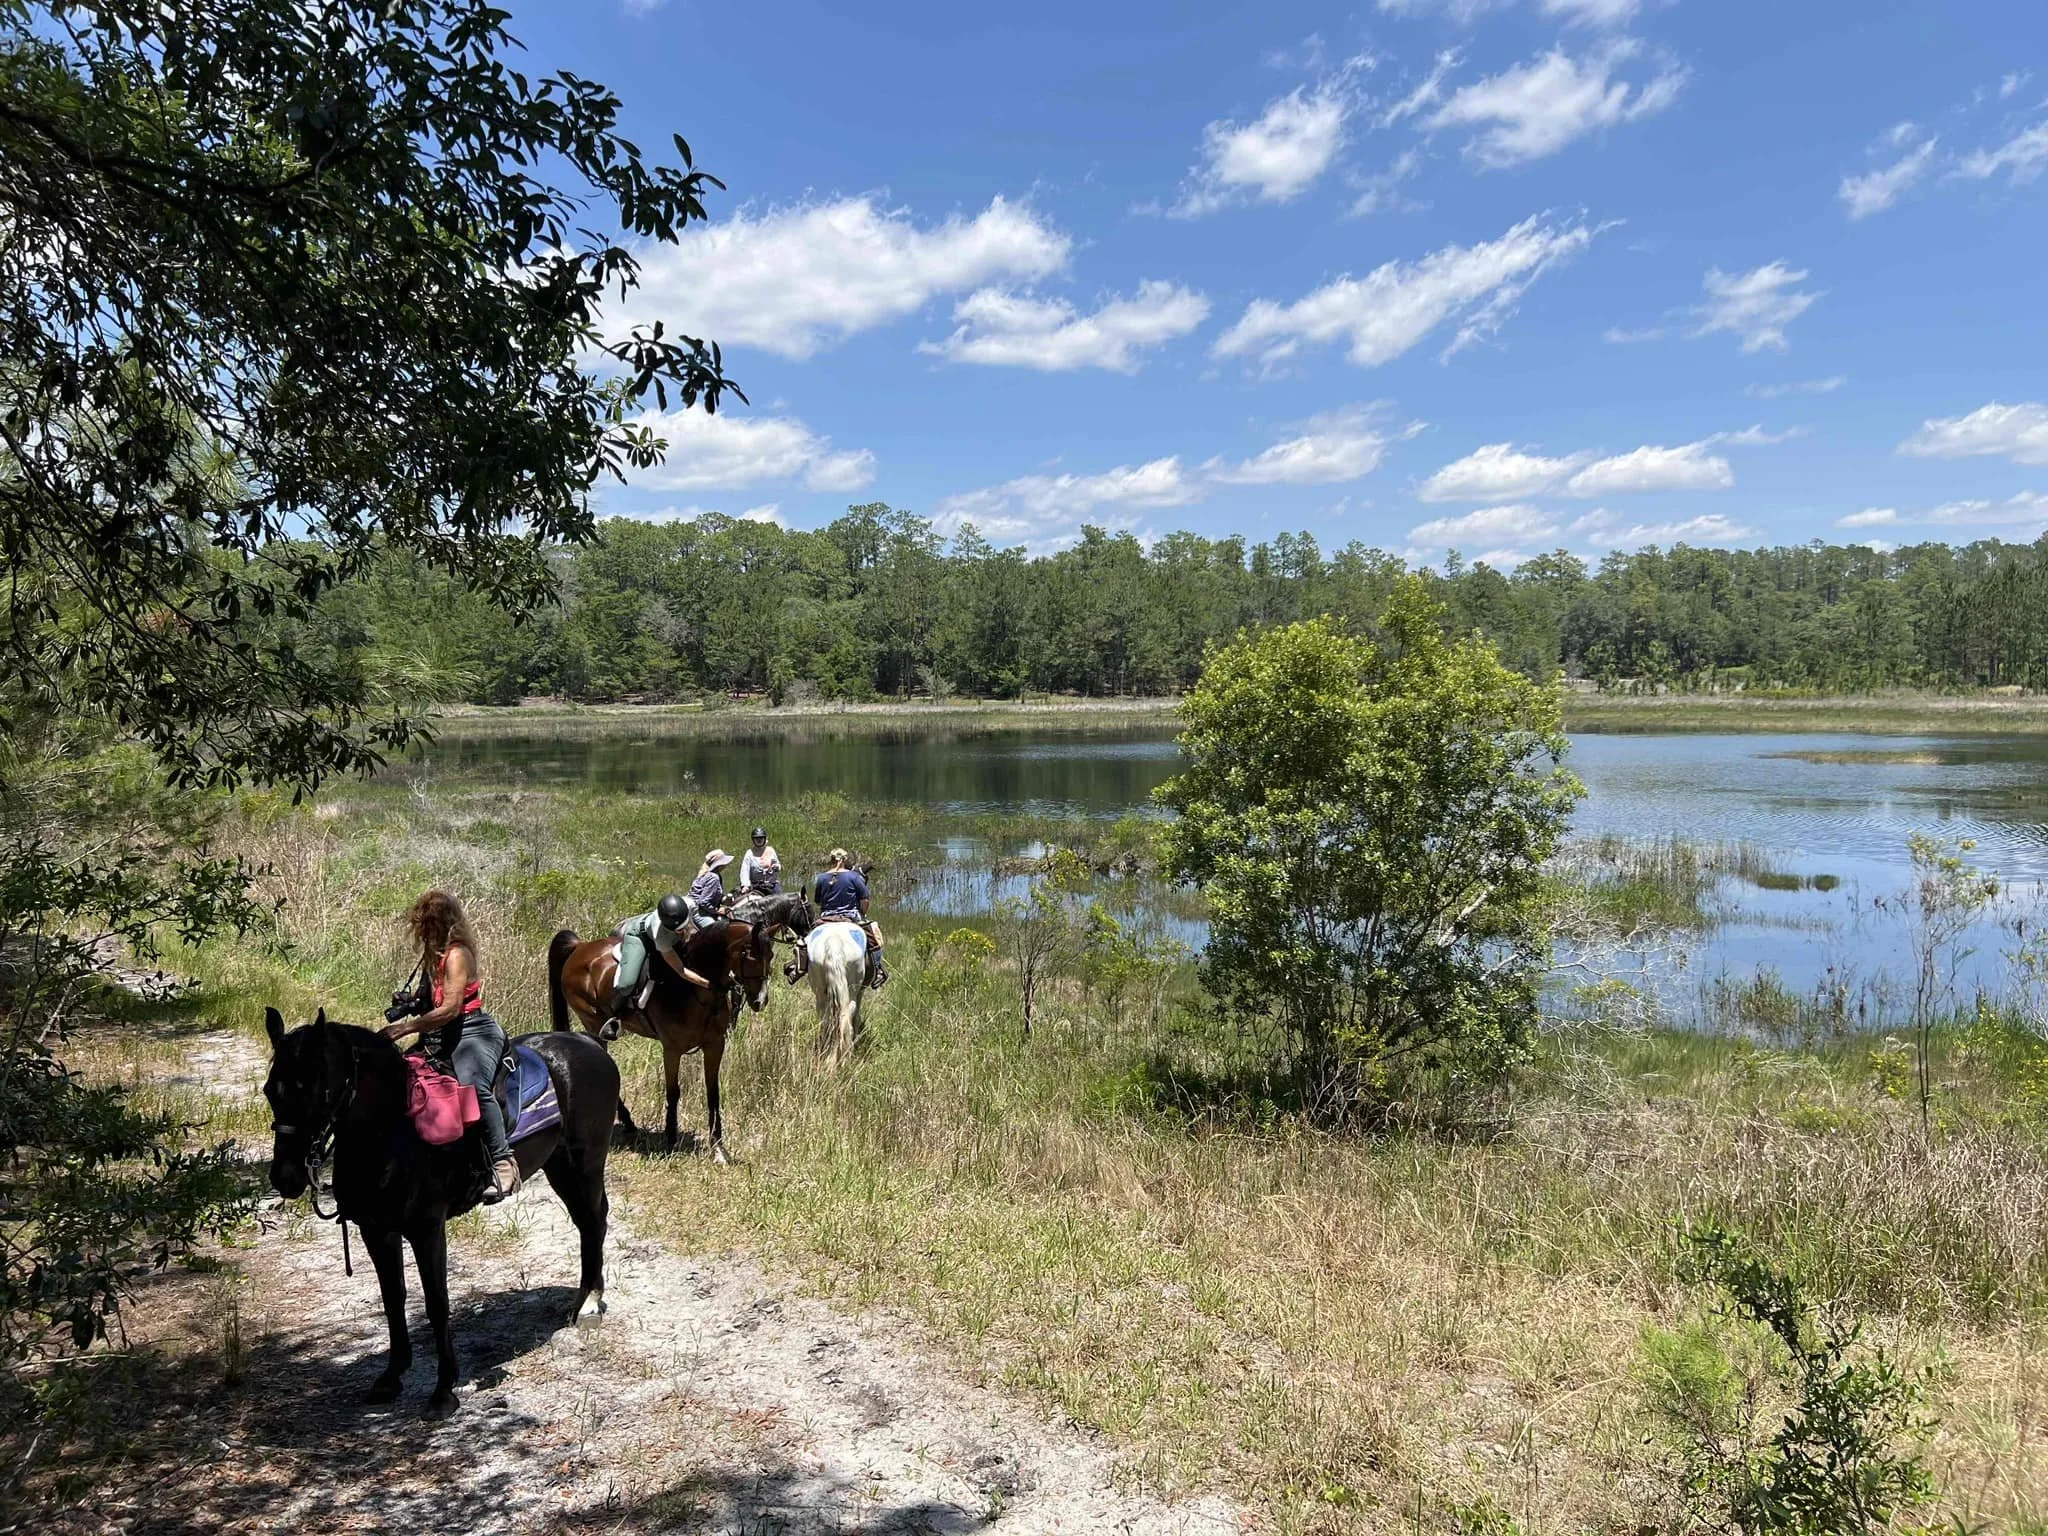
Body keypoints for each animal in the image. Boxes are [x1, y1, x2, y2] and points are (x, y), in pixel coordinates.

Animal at [261, 1007, 620, 1419]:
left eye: (315, 1089)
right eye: (270, 1090)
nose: (285, 1177)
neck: (395, 1133)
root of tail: (590, 1042)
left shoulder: (427, 1229)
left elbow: (436, 1303)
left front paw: (443, 1389)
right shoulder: (376, 1230)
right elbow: (392, 1298)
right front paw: (392, 1376)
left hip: (584, 1162)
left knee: (593, 1222)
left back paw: (589, 1304)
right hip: (558, 1163)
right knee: (587, 1222)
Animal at [547, 894, 811, 1159]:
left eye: (771, 955)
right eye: (749, 954)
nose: (760, 1000)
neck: (696, 992)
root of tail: (579, 947)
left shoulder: (715, 1045)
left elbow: (712, 1091)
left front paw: (718, 1147)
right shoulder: (672, 1050)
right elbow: (673, 1092)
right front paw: (671, 1138)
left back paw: (629, 1124)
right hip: (593, 1021)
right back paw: (627, 1122)